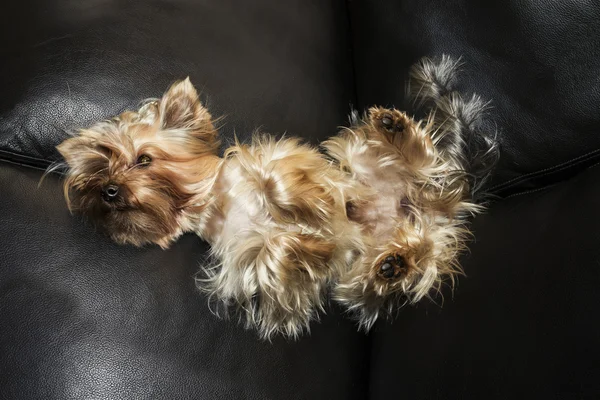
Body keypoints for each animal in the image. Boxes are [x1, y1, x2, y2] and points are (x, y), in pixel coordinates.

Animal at [55, 55, 496, 338]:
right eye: (100, 175)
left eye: (144, 159)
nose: (108, 190)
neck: (214, 205)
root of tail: (436, 209)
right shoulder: (247, 265)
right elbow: (276, 256)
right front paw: (312, 246)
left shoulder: (276, 159)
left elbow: (277, 181)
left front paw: (312, 207)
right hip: (360, 278)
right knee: (403, 263)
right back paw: (393, 264)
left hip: (363, 159)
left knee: (423, 166)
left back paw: (395, 128)